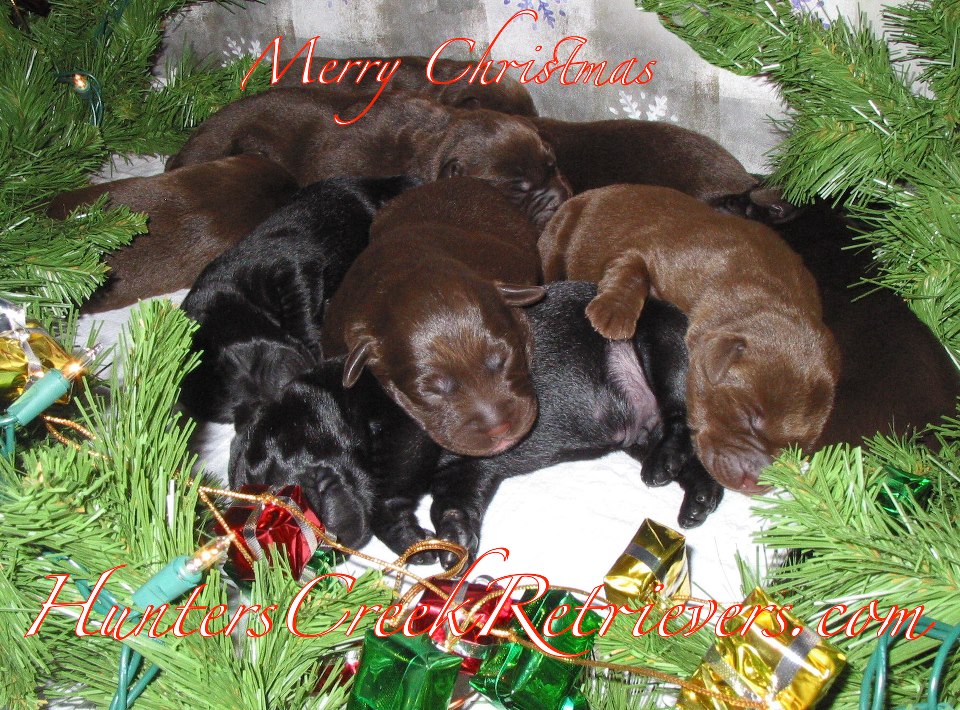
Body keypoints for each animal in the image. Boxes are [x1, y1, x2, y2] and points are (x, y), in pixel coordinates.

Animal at [179, 175, 418, 426]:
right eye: (236, 411)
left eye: (236, 360)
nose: (284, 393)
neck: (230, 286)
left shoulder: (288, 264)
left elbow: (298, 306)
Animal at [539, 184, 841, 493]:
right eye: (747, 417)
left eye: (796, 449)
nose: (754, 484)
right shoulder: (658, 253)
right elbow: (631, 266)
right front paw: (612, 313)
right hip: (556, 240)